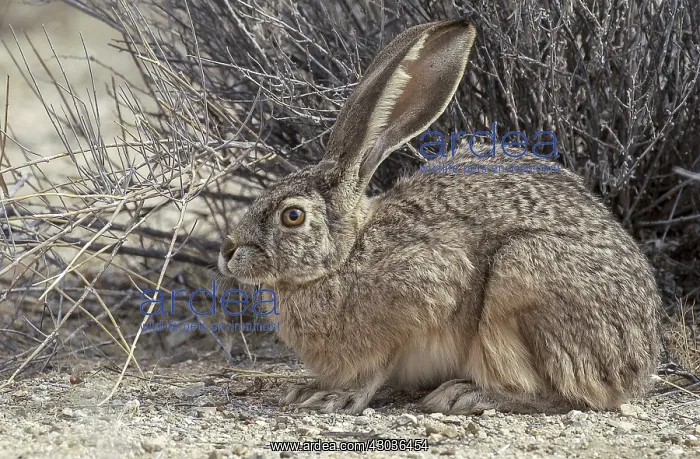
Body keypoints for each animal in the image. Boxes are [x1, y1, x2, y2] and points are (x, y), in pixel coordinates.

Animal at [218, 19, 662, 415]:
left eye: (292, 215)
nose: (228, 251)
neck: (347, 256)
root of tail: (638, 362)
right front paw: (305, 389)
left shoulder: (426, 289)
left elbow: (377, 367)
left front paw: (333, 397)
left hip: (522, 275)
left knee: (561, 395)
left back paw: (465, 395)